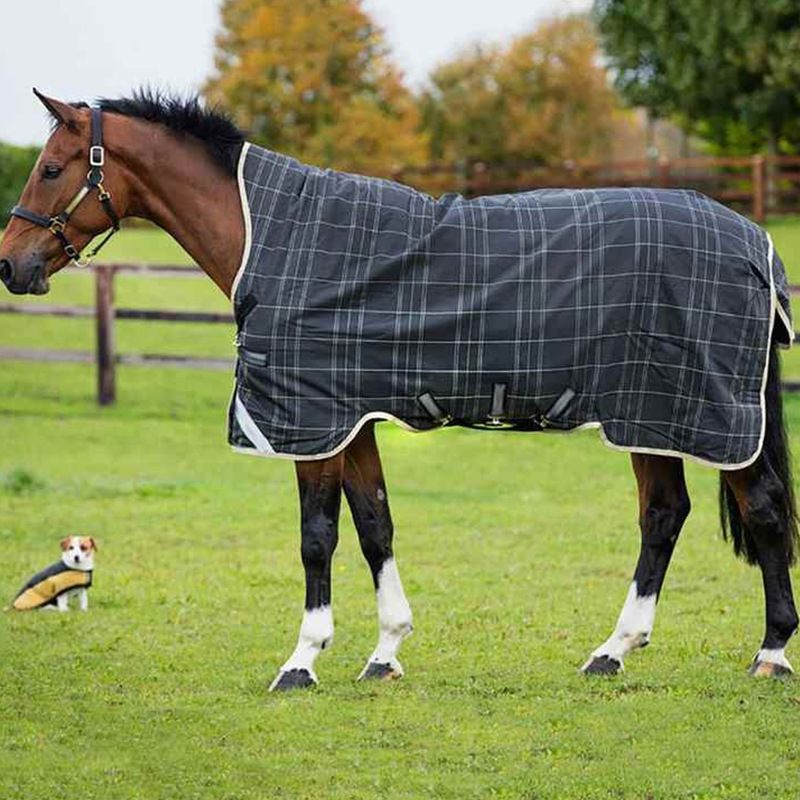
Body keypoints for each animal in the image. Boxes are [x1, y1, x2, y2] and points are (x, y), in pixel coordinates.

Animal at [1, 90, 797, 690]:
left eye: (50, 168)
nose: (11, 264)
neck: (274, 239)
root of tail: (755, 241)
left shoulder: (311, 425)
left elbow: (317, 539)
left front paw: (301, 661)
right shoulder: (352, 421)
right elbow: (374, 525)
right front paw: (384, 653)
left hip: (687, 412)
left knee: (751, 510)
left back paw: (768, 653)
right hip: (653, 416)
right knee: (666, 514)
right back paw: (614, 651)